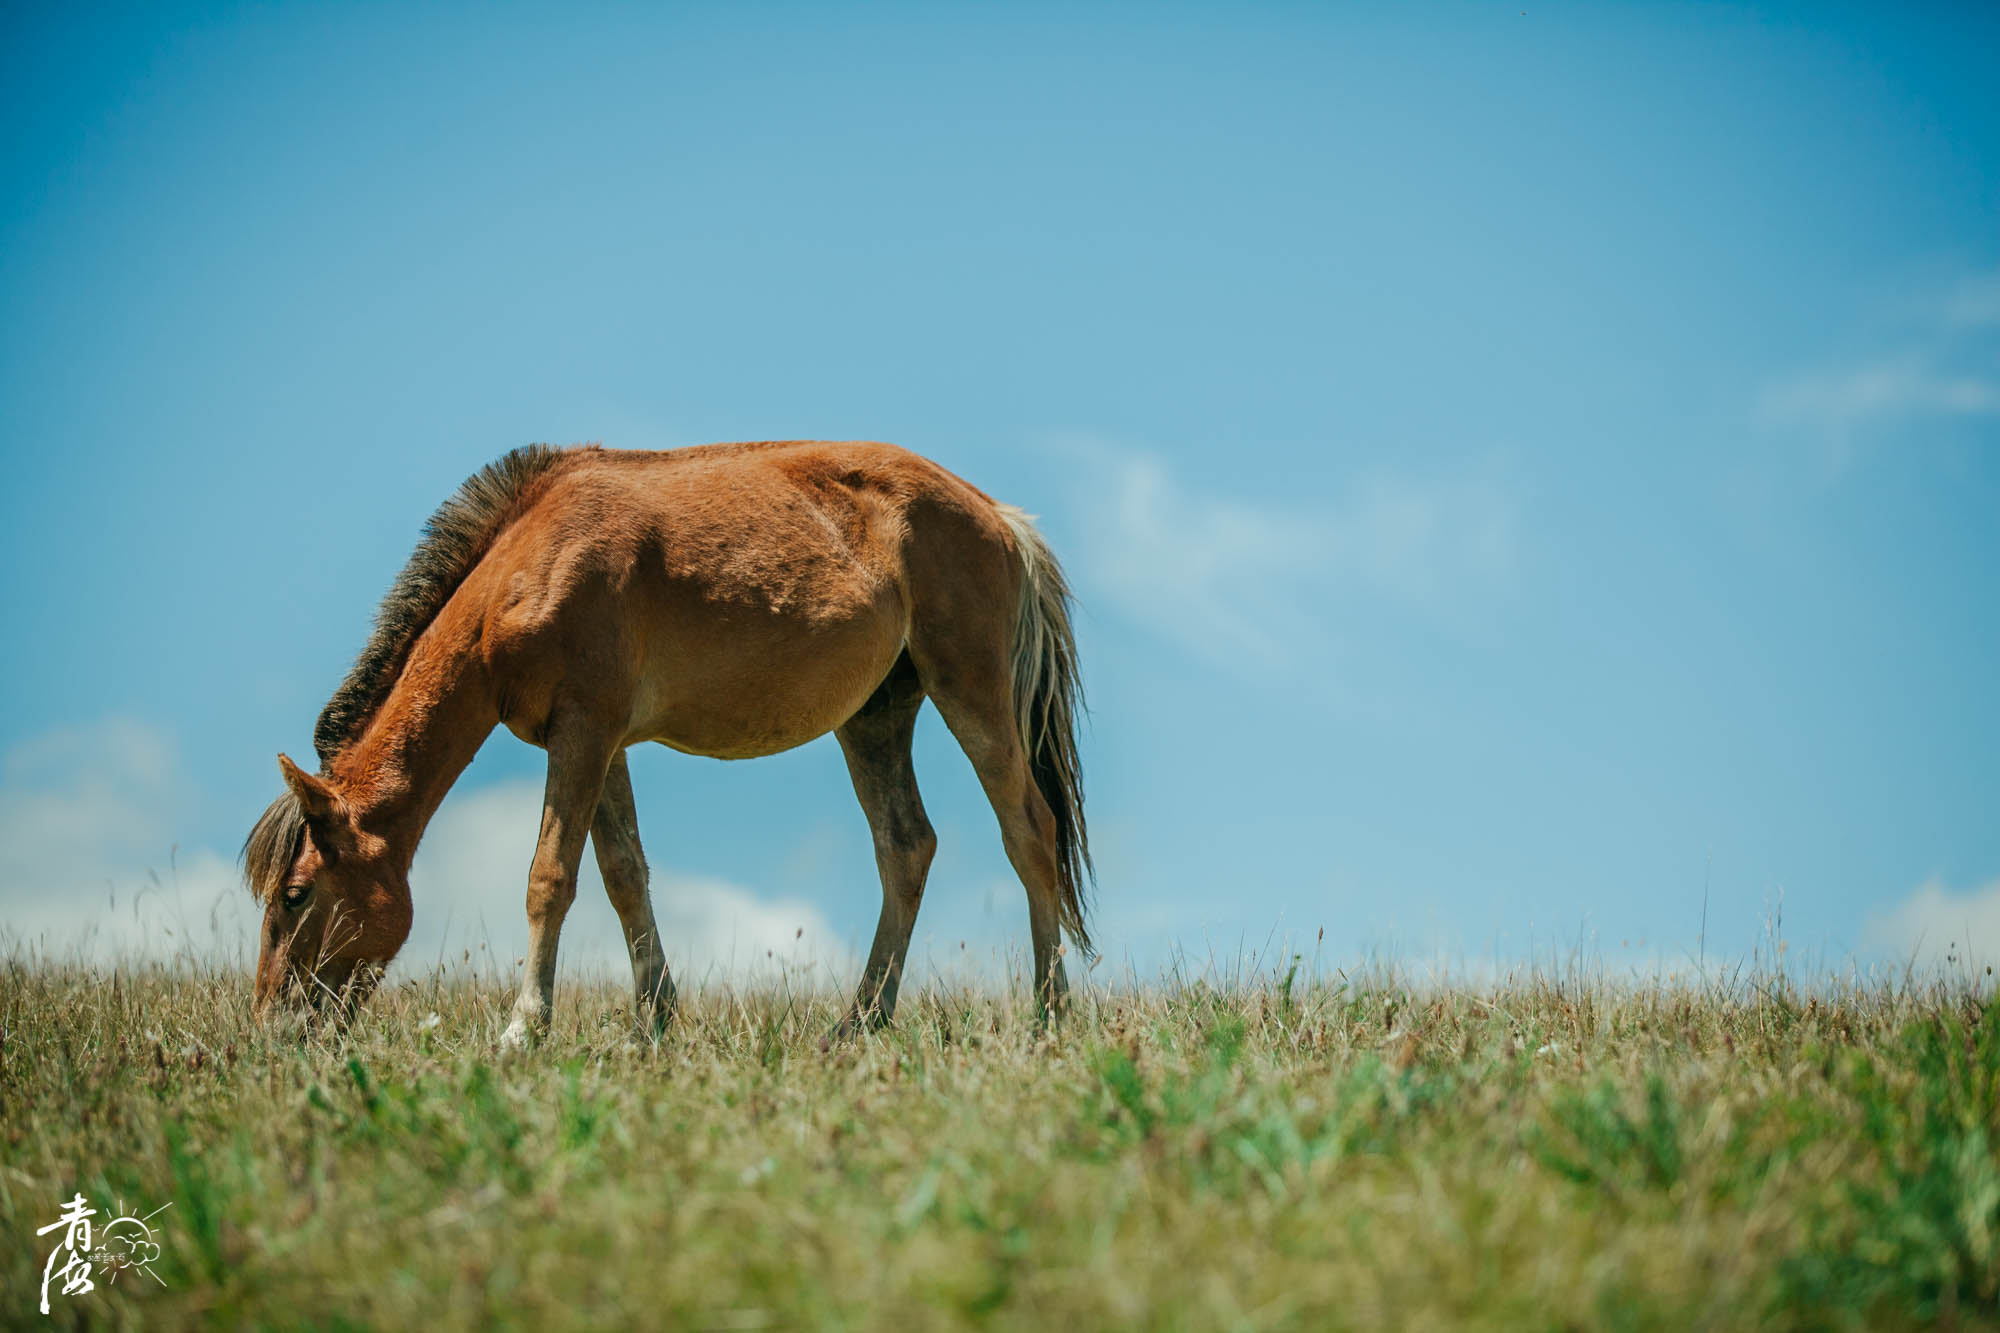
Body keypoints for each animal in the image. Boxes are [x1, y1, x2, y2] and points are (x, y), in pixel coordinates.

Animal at [246, 436, 1096, 1040]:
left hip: (971, 693)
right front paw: (653, 1022)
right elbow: (624, 874)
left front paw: (525, 1029)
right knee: (906, 847)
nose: (271, 1028)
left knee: (1030, 832)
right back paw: (857, 1025)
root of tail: (1000, 518)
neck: (528, 561)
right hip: (876, 717)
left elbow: (550, 876)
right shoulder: (600, 741)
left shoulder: (584, 731)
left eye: (296, 894)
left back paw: (1048, 1018)